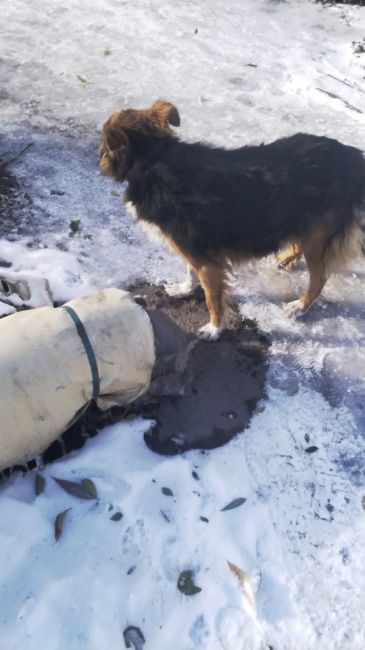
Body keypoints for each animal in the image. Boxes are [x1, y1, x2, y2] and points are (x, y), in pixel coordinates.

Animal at [99, 98, 364, 340]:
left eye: (103, 143)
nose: (98, 158)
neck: (155, 159)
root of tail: (350, 157)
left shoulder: (208, 263)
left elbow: (211, 298)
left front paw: (214, 329)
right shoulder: (194, 249)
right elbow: (189, 272)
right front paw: (183, 290)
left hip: (317, 235)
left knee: (319, 278)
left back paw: (298, 306)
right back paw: (288, 258)